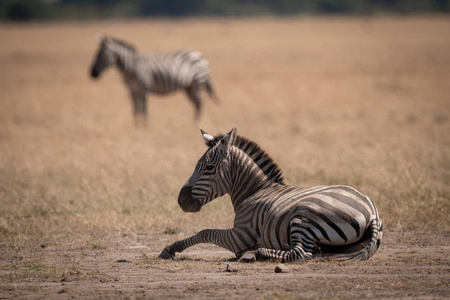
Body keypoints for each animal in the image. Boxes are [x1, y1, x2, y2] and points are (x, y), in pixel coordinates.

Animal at [89, 35, 218, 125]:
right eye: (96, 54)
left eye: (100, 55)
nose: (92, 74)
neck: (131, 66)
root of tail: (199, 55)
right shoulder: (132, 91)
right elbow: (135, 110)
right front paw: (136, 126)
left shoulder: (144, 89)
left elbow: (144, 109)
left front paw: (145, 127)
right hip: (189, 87)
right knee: (196, 104)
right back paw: (193, 123)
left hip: (197, 83)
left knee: (199, 104)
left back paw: (196, 124)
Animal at [159, 127, 384, 264]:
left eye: (209, 168)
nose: (181, 200)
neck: (255, 190)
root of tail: (372, 211)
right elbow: (204, 232)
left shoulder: (240, 235)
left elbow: (204, 232)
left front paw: (171, 248)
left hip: (303, 217)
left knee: (301, 252)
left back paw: (256, 253)